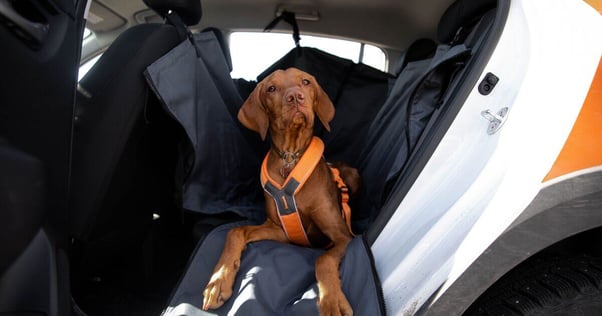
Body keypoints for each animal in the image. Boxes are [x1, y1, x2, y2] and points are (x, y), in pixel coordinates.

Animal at [204, 67, 358, 316]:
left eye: (305, 82)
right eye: (271, 88)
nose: (296, 97)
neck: (290, 156)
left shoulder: (342, 236)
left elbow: (323, 260)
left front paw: (332, 300)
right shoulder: (282, 231)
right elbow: (235, 231)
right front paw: (218, 280)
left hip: (352, 175)